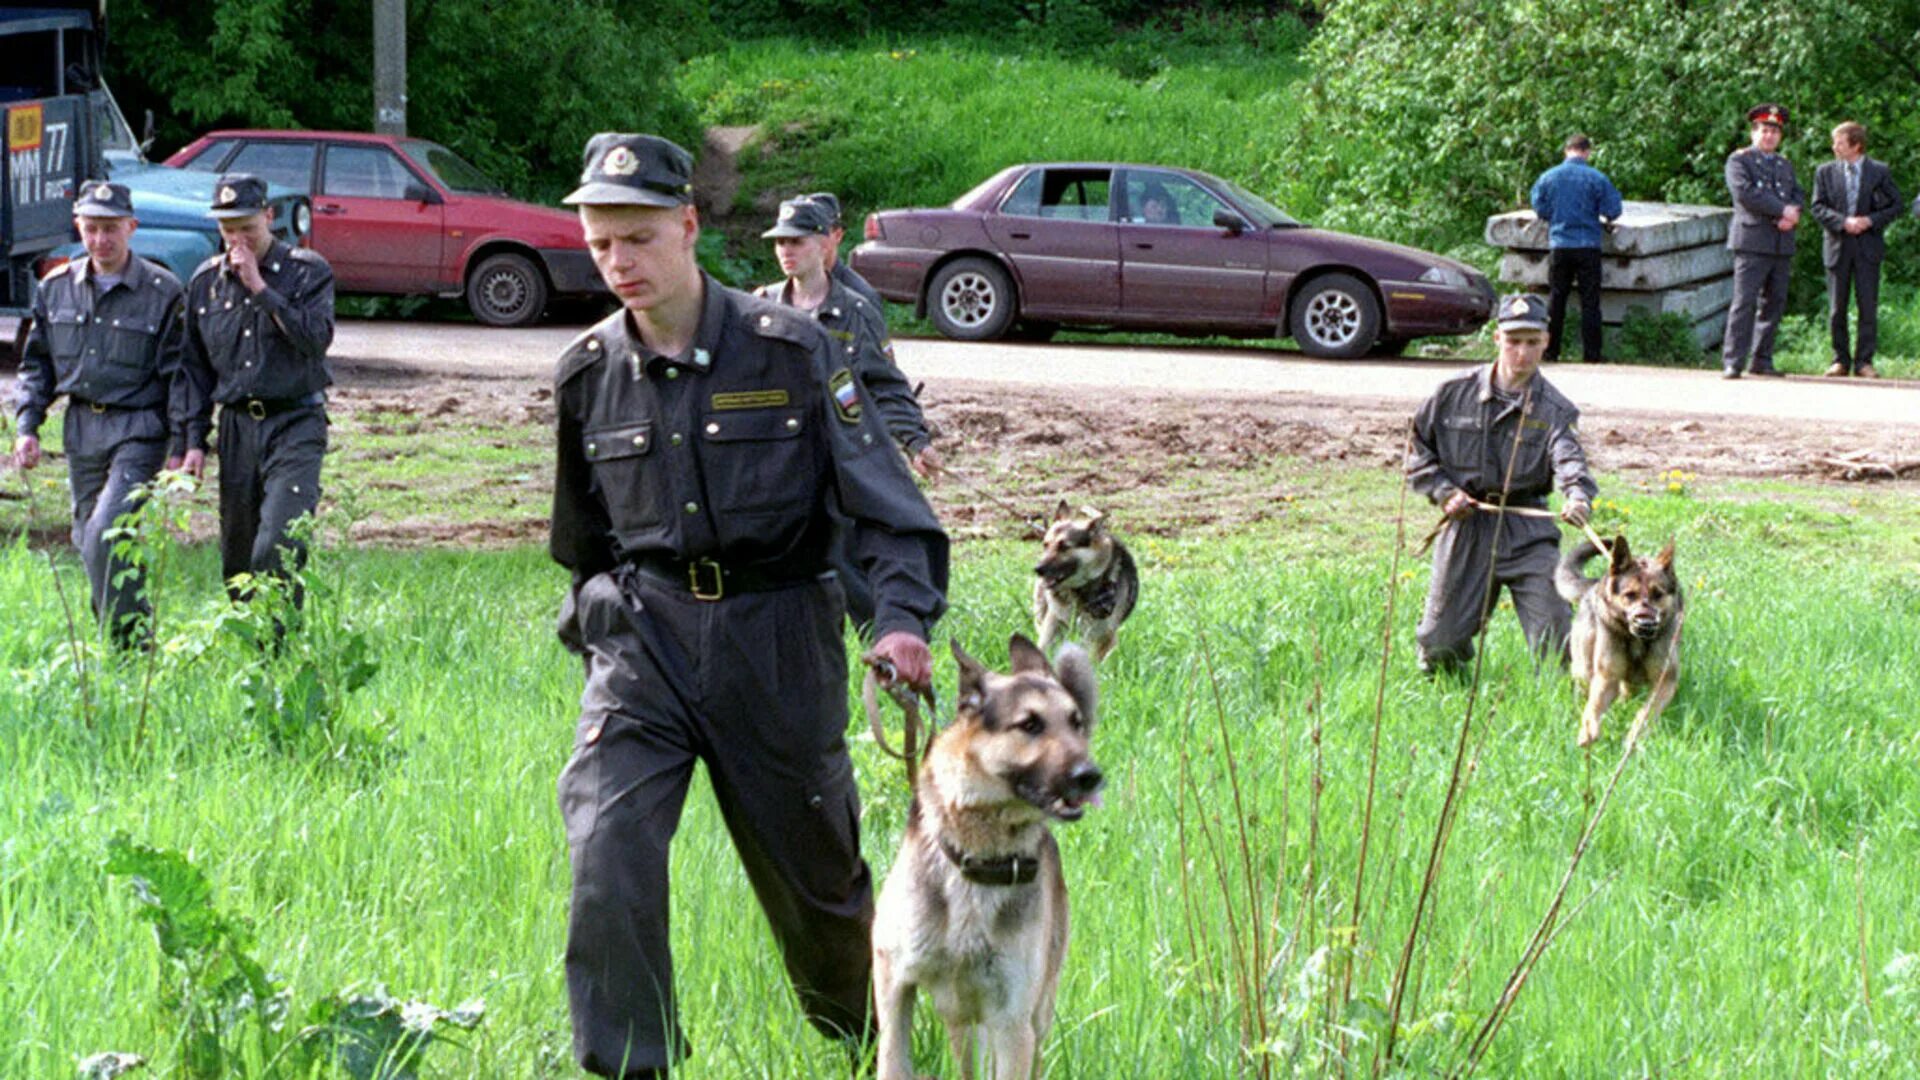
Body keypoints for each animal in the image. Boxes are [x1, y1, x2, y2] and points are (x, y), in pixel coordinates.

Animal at [875, 630, 1105, 1076]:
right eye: (1030, 724)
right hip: (966, 1022)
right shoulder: (893, 984)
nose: (1091, 776)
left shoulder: (1012, 1022)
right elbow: (893, 1062)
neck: (977, 860)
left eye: (1075, 723)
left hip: (1033, 1016)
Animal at [1036, 499, 1136, 664]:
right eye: (1045, 544)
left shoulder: (1102, 637)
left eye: (1064, 547)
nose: (1037, 569)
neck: (1080, 589)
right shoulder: (1053, 625)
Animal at [1559, 530, 1681, 749]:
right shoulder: (1607, 678)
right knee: (1586, 694)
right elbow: (1593, 706)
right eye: (1630, 595)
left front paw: (1635, 737)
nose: (1646, 623)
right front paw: (1588, 730)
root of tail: (1594, 584)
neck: (1637, 642)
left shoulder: (1665, 681)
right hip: (1584, 670)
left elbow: (1645, 713)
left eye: (1657, 594)